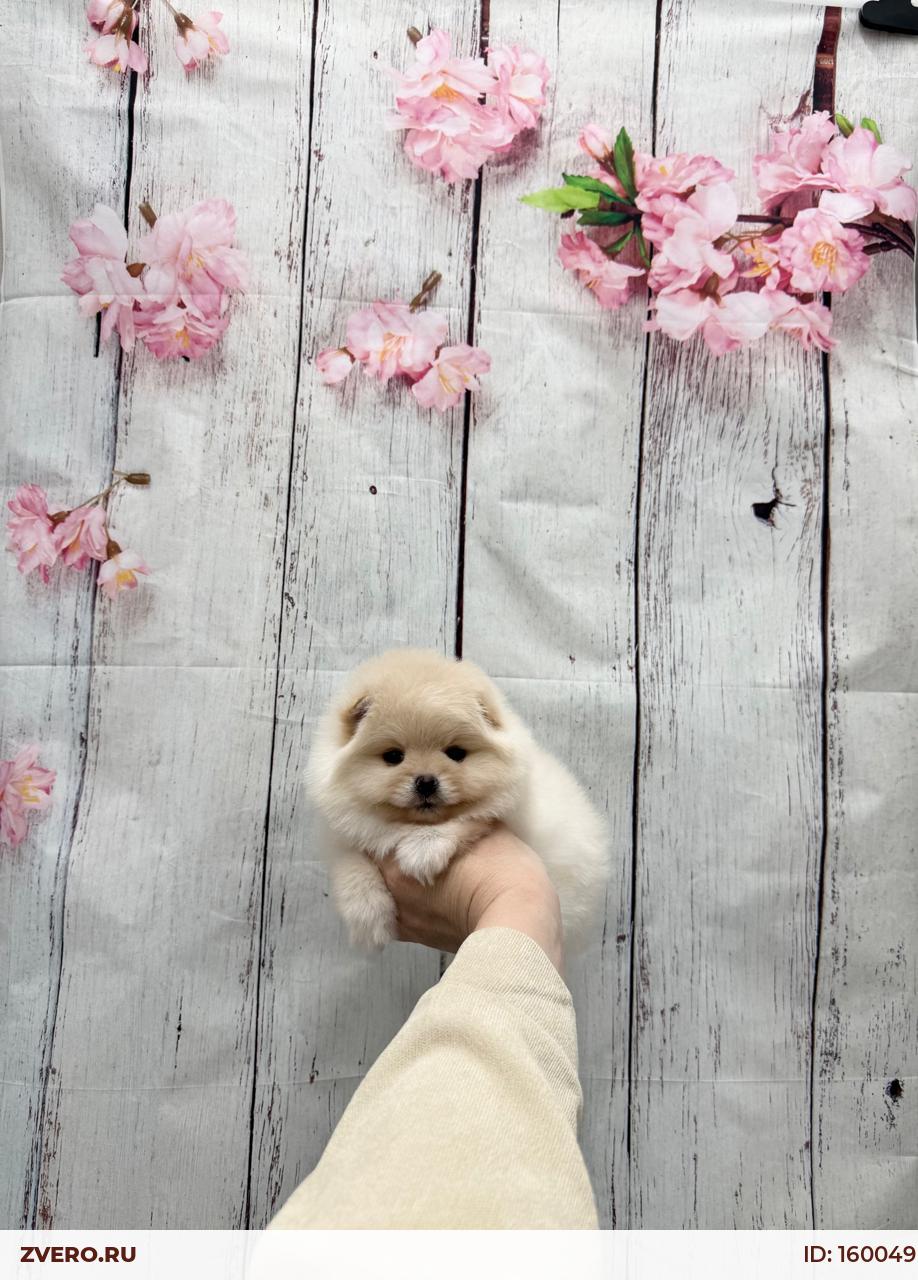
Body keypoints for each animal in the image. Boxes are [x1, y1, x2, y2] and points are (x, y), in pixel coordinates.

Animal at [307, 649, 609, 950]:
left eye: (455, 753)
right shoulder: (343, 835)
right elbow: (351, 864)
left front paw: (423, 850)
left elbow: (467, 818)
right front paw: (368, 920)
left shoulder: (502, 813)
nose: (426, 781)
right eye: (393, 756)